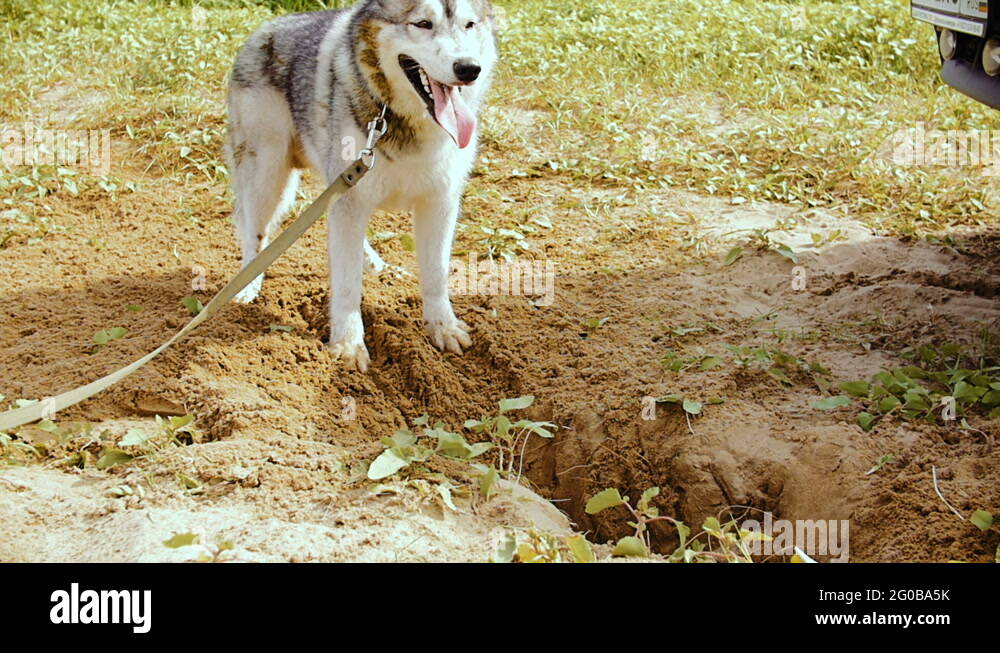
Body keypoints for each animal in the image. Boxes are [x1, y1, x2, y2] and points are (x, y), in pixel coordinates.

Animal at [223, 0, 496, 370]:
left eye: (469, 25)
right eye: (423, 24)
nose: (469, 68)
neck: (400, 121)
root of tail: (264, 29)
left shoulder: (439, 202)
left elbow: (436, 273)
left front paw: (443, 327)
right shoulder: (350, 199)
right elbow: (347, 284)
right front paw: (348, 345)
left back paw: (375, 263)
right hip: (266, 173)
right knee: (255, 233)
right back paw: (248, 287)